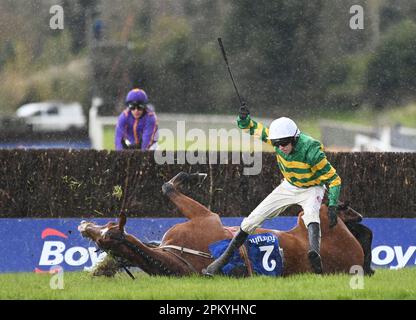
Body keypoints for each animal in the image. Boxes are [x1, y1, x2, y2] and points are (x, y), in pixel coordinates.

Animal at [78, 172, 374, 278]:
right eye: (101, 240)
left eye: (108, 230)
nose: (84, 226)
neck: (185, 259)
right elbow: (167, 187)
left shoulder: (206, 217)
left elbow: (168, 187)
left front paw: (190, 175)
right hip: (317, 222)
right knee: (356, 228)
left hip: (316, 218)